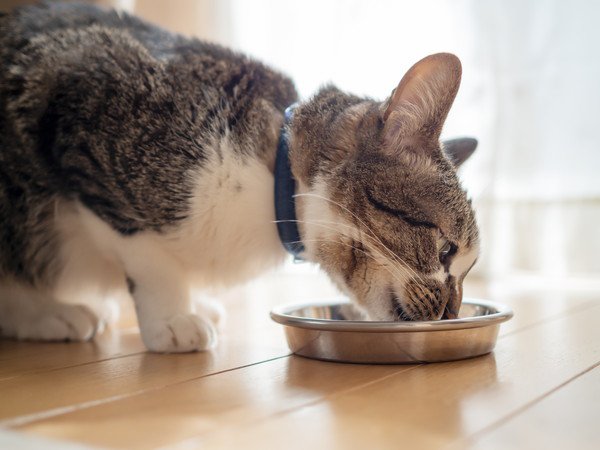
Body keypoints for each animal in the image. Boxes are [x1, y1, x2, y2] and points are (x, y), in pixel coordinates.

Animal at [0, 2, 478, 352]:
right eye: (446, 250)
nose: (452, 313)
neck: (269, 190)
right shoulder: (84, 104)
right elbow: (149, 257)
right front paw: (173, 316)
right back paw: (52, 311)